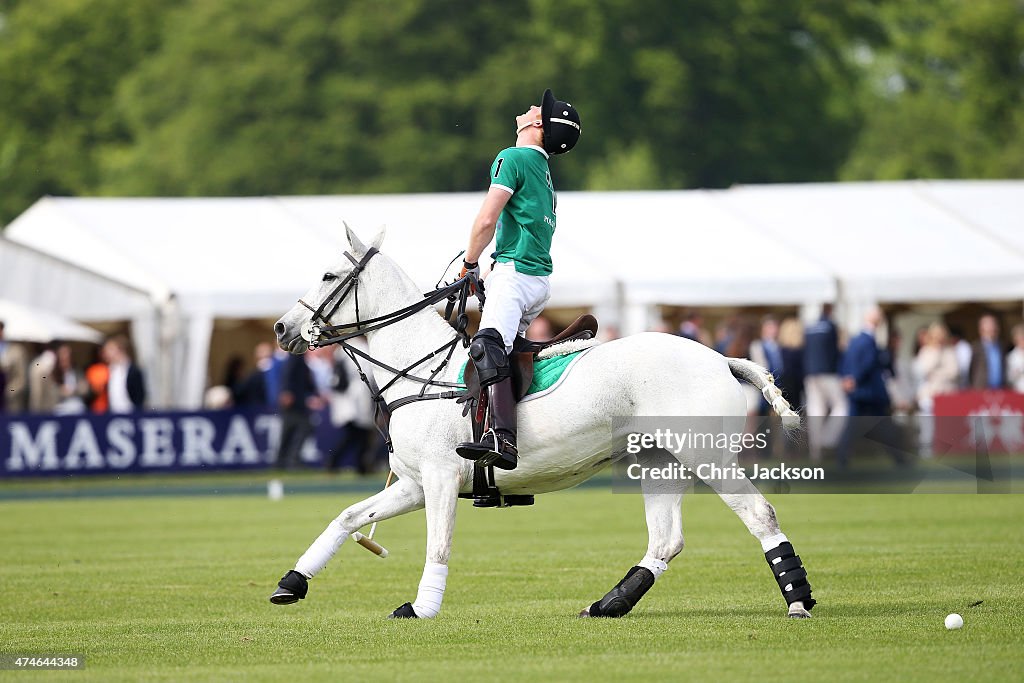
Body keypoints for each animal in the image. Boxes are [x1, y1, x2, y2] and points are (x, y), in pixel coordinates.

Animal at [272, 227, 815, 622]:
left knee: (760, 514)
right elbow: (347, 518)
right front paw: (291, 583)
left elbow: (438, 544)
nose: (281, 328)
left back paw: (798, 600)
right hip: (658, 461)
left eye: (327, 275)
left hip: (706, 455)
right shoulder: (414, 483)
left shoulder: (442, 478)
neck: (418, 365)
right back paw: (609, 604)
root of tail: (722, 358)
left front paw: (421, 608)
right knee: (667, 540)